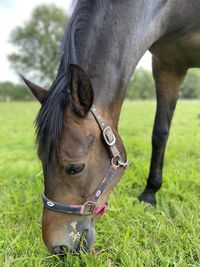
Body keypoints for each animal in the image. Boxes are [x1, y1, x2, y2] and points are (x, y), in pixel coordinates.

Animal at [22, 0, 200, 255]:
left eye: (75, 168)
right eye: (42, 160)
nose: (57, 247)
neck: (173, 11)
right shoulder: (167, 65)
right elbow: (160, 132)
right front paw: (150, 194)